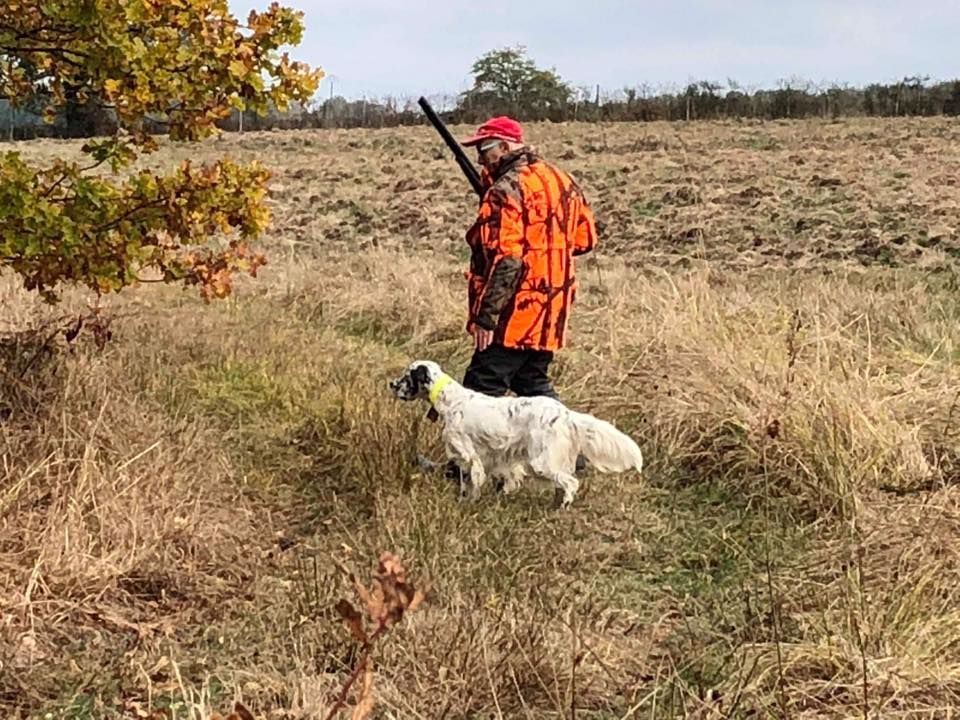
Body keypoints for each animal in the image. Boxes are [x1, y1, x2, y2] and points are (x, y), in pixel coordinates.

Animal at [390, 360, 644, 506]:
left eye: (407, 376)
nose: (391, 384)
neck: (452, 400)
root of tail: (565, 413)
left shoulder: (467, 453)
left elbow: (471, 480)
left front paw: (468, 501)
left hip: (542, 461)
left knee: (571, 482)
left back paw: (562, 507)